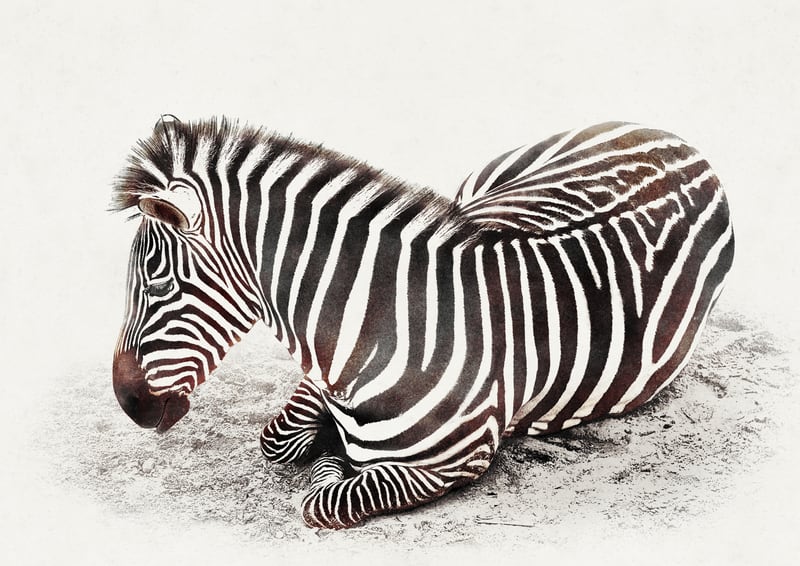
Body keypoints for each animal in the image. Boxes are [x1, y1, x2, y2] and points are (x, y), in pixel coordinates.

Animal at [112, 117, 734, 529]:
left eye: (158, 283)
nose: (128, 403)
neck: (386, 325)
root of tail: (686, 143)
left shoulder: (455, 460)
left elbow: (325, 497)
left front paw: (333, 458)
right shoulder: (319, 378)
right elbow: (280, 440)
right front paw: (326, 442)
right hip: (479, 189)